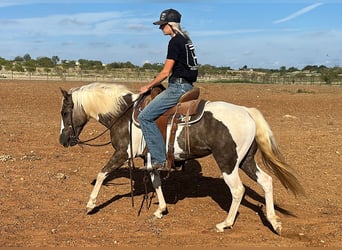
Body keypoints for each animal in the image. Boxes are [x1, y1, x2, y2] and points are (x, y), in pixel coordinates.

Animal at [59, 82, 304, 234]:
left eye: (64, 112)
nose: (63, 140)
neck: (124, 115)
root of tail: (246, 111)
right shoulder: (150, 159)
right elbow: (156, 181)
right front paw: (160, 210)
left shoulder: (122, 153)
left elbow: (102, 174)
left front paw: (90, 204)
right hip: (245, 160)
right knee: (266, 181)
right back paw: (274, 222)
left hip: (227, 162)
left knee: (237, 190)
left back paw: (224, 224)